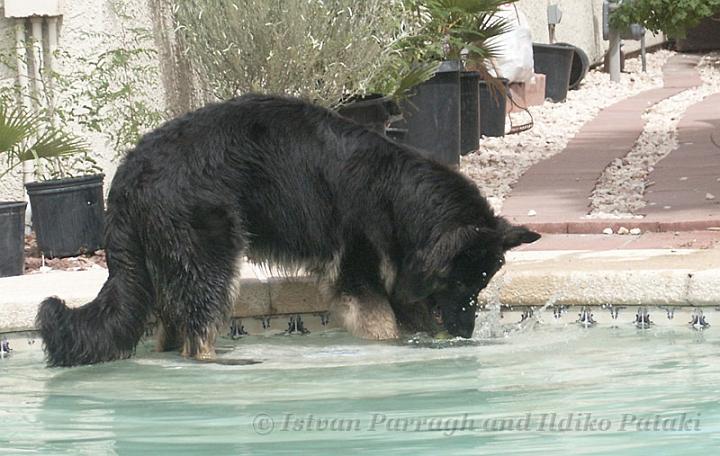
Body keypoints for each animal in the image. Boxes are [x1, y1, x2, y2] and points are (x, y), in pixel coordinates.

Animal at [35, 93, 540, 366]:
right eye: (460, 283)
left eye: (482, 285)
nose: (466, 334)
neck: (397, 194)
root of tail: (128, 171)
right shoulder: (359, 276)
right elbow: (384, 329)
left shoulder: (399, 280)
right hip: (211, 262)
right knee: (196, 337)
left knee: (173, 332)